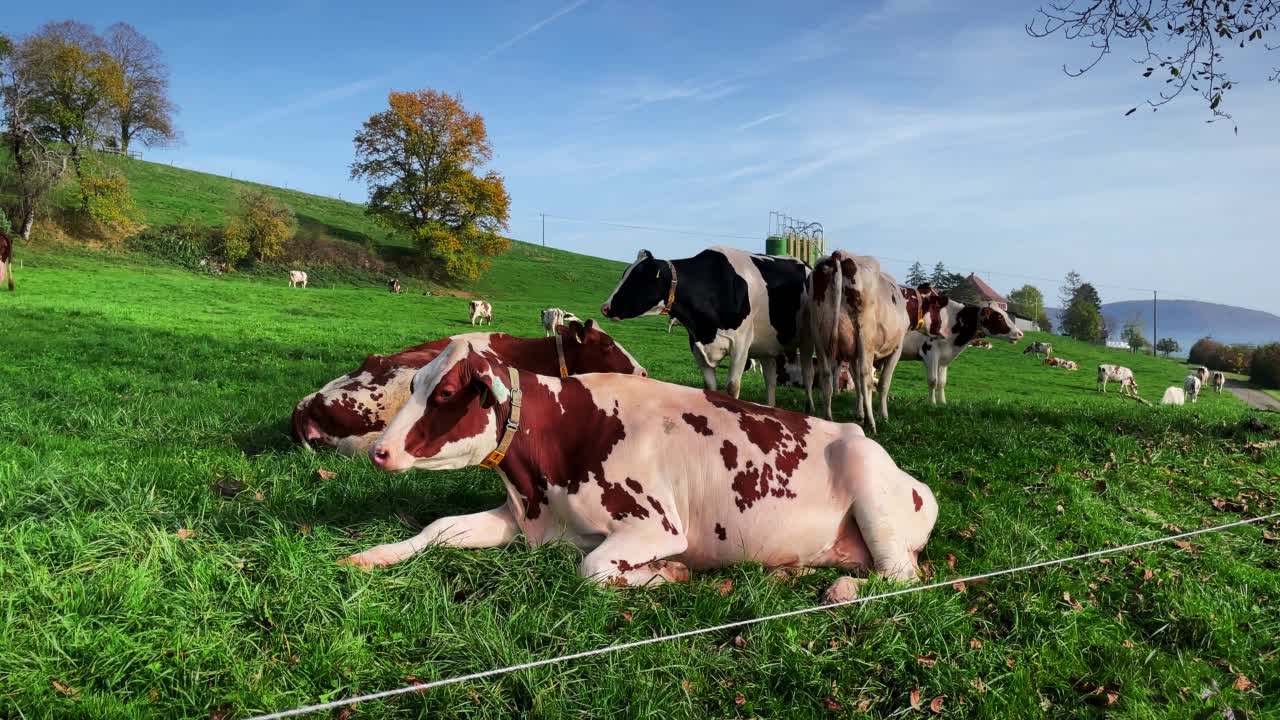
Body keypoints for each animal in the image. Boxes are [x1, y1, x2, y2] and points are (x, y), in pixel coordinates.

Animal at [350, 335, 942, 589]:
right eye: (415, 383)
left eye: (448, 392)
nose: (380, 450)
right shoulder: (523, 517)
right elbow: (441, 527)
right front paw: (374, 555)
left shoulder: (658, 524)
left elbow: (592, 569)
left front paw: (666, 573)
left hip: (872, 495)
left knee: (899, 578)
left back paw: (840, 591)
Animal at [601, 245, 819, 407]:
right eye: (624, 274)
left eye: (636, 278)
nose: (605, 307)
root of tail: (804, 263)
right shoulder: (696, 344)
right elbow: (709, 386)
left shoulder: (741, 345)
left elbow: (732, 387)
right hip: (767, 347)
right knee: (771, 380)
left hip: (808, 340)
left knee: (808, 375)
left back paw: (812, 408)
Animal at [808, 249, 911, 427]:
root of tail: (839, 254)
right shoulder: (896, 349)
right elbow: (883, 383)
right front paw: (883, 415)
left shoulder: (852, 355)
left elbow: (856, 383)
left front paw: (859, 413)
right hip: (865, 336)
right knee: (866, 376)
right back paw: (871, 422)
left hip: (819, 335)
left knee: (826, 376)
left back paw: (828, 418)